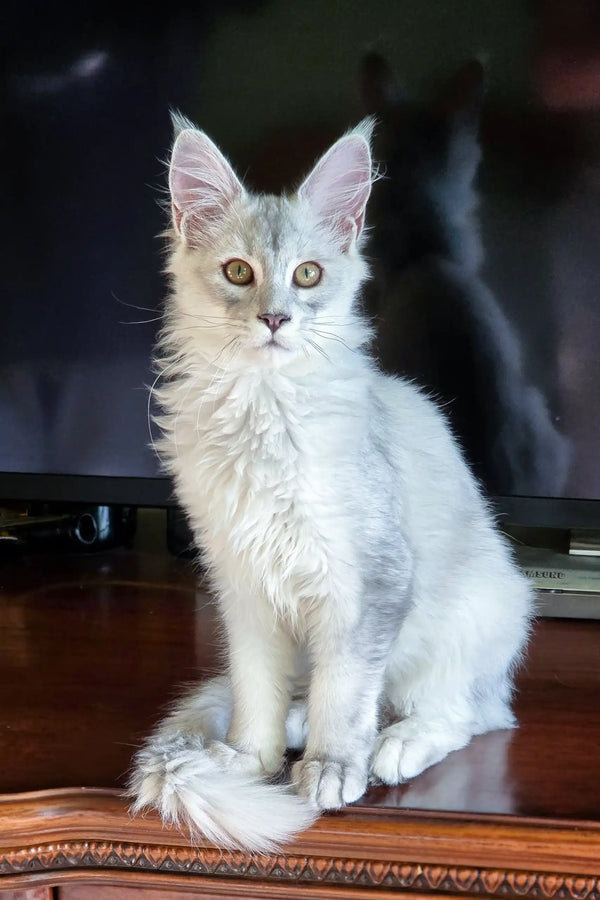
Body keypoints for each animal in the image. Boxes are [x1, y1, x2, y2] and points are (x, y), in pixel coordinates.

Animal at [129, 116, 532, 856]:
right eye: (239, 273)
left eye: (307, 275)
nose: (275, 319)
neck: (263, 413)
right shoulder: (242, 583)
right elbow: (256, 686)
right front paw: (248, 758)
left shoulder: (368, 582)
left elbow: (344, 691)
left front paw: (332, 767)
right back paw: (295, 728)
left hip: (475, 617)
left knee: (465, 713)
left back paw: (392, 746)